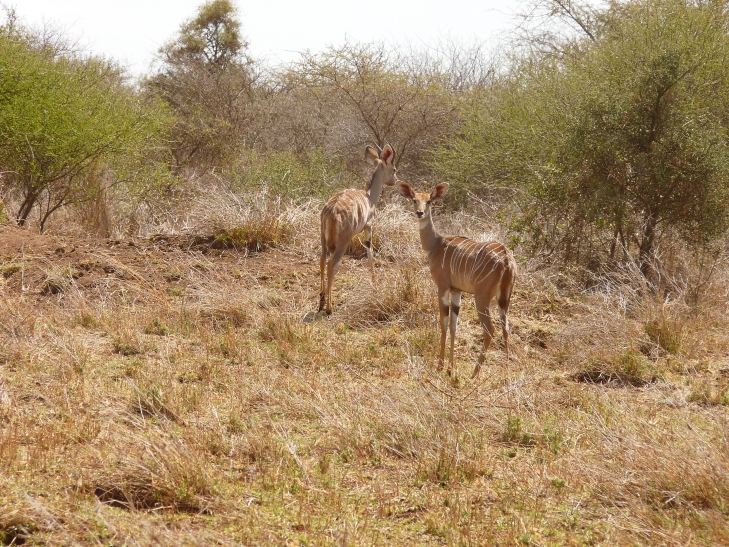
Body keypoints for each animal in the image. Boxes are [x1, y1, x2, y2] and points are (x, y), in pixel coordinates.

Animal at [318, 144, 398, 315]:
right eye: (394, 169)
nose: (395, 181)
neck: (369, 197)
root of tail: (332, 211)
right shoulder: (369, 227)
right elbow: (370, 252)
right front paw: (375, 287)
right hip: (344, 241)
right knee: (333, 264)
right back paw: (329, 308)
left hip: (323, 239)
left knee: (322, 259)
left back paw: (321, 300)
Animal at [395, 181, 516, 379]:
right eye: (414, 200)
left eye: (429, 201)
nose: (419, 213)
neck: (436, 245)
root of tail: (506, 259)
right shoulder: (456, 290)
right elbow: (454, 325)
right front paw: (451, 368)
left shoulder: (443, 287)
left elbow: (444, 323)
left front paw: (440, 366)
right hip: (504, 298)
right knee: (505, 326)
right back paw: (506, 371)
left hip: (481, 297)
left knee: (490, 329)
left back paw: (475, 373)